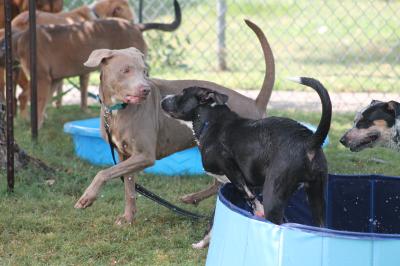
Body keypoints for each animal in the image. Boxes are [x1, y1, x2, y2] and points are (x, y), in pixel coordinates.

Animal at [0, 0, 135, 110]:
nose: (133, 22)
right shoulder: (83, 71)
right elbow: (83, 91)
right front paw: (84, 109)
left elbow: (59, 88)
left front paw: (57, 105)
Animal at [74, 20, 276, 230]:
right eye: (126, 70)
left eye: (144, 72)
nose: (145, 90)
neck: (116, 110)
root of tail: (254, 103)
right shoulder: (124, 155)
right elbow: (129, 189)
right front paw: (128, 218)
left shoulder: (144, 155)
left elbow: (104, 172)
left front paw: (87, 197)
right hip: (213, 157)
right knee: (219, 185)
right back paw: (193, 198)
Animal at [162, 77, 332, 247]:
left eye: (182, 94)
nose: (163, 98)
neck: (210, 121)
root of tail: (309, 141)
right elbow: (213, 219)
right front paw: (202, 243)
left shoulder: (229, 166)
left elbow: (247, 194)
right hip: (316, 197)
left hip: (274, 198)